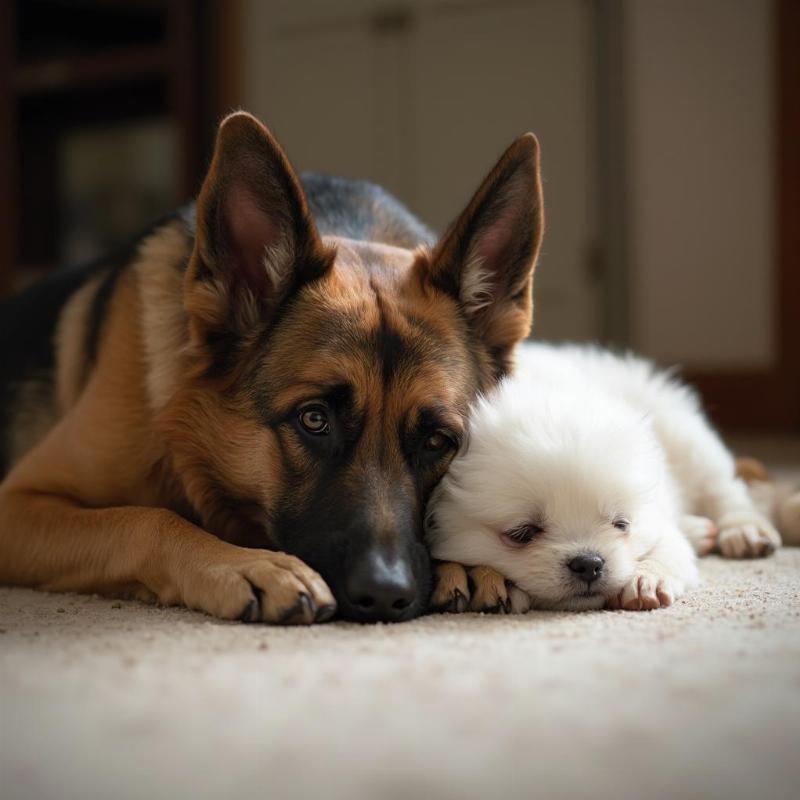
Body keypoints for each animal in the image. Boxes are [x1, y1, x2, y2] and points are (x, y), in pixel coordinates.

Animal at [424, 344, 780, 612]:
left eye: (621, 523)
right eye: (522, 533)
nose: (588, 563)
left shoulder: (657, 520)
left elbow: (671, 549)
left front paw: (646, 579)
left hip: (686, 438)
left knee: (724, 489)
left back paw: (745, 531)